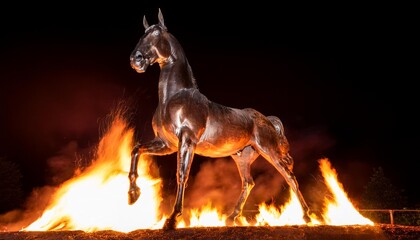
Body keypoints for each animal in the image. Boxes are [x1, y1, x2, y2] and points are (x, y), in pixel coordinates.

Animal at [128, 8, 312, 231]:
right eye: (142, 34)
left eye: (156, 34)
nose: (136, 60)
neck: (173, 98)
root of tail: (268, 121)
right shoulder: (166, 144)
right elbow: (136, 149)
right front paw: (133, 194)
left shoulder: (186, 141)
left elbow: (182, 174)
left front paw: (172, 219)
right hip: (242, 157)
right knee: (248, 182)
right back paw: (232, 217)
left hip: (270, 151)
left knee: (289, 176)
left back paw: (307, 216)